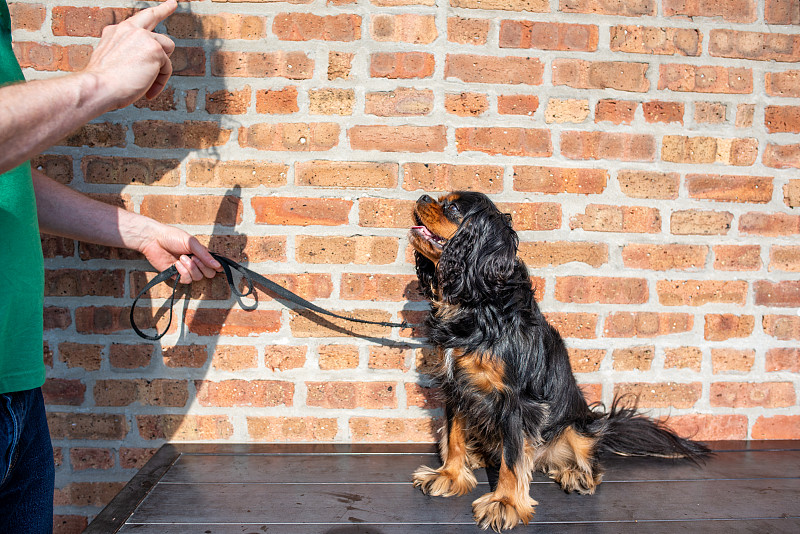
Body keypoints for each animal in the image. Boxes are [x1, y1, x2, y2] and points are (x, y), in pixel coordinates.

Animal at [410, 192, 708, 532]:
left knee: (588, 459)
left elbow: (513, 458)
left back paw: (576, 475)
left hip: (576, 426)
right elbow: (454, 436)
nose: (422, 195)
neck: (475, 305)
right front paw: (449, 475)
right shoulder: (456, 386)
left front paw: (505, 503)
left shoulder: (516, 402)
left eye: (453, 207)